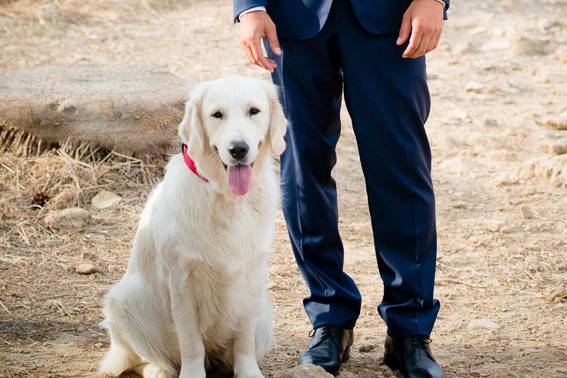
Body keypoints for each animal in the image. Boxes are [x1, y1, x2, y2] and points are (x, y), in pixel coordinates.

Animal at [98, 77, 288, 378]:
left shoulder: (251, 276)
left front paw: (248, 371)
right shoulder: (182, 281)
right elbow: (191, 343)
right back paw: (157, 369)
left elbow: (243, 339)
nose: (238, 149)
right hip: (123, 303)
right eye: (217, 114)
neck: (225, 197)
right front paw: (192, 373)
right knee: (140, 356)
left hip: (265, 313)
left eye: (254, 111)